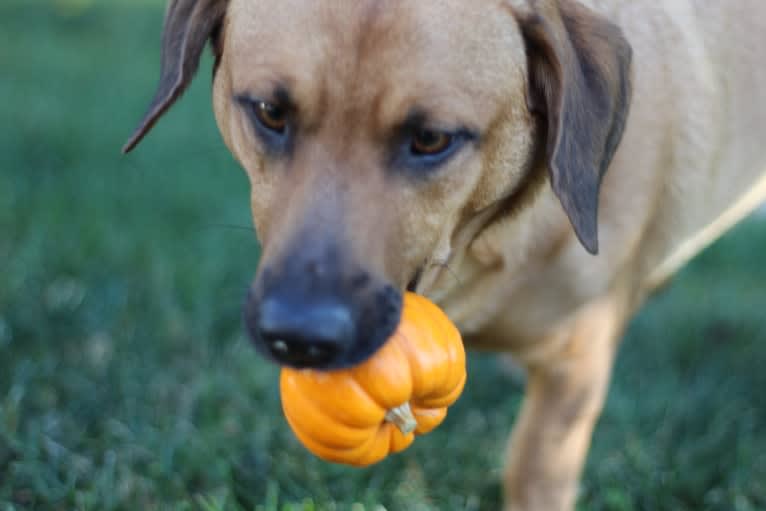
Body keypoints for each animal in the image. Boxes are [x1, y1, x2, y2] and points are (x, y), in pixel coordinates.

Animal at [123, 1, 766, 511]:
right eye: (269, 113)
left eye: (431, 139)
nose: (301, 337)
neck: (479, 247)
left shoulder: (575, 369)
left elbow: (534, 467)